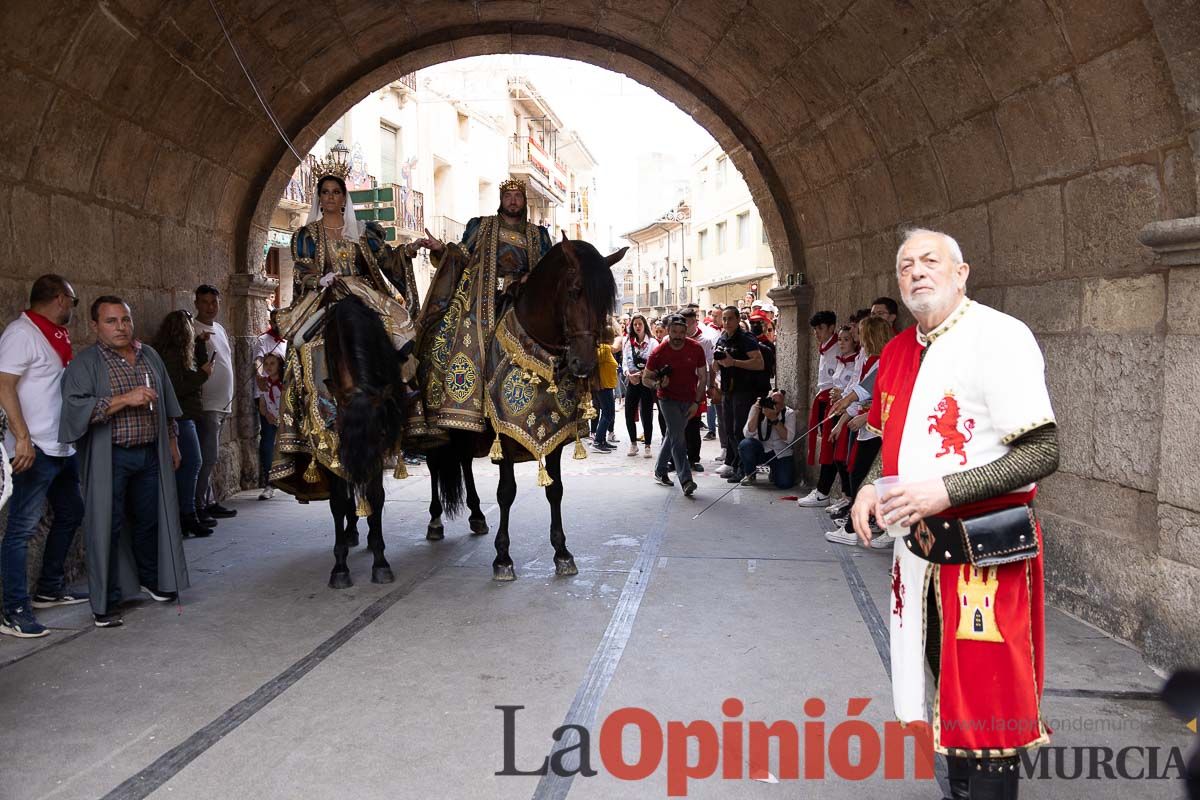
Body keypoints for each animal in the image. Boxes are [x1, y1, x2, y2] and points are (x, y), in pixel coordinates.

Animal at [321, 293, 410, 587]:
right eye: (340, 431)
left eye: (380, 433)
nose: (359, 471)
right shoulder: (331, 447)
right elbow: (338, 501)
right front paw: (340, 567)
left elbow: (376, 496)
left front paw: (381, 562)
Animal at [424, 237, 628, 582]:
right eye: (575, 290)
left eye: (606, 302)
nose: (584, 364)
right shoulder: (504, 433)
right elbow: (506, 491)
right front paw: (502, 558)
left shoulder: (556, 432)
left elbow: (555, 489)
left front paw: (562, 553)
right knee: (436, 464)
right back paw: (436, 520)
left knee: (463, 461)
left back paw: (476, 515)